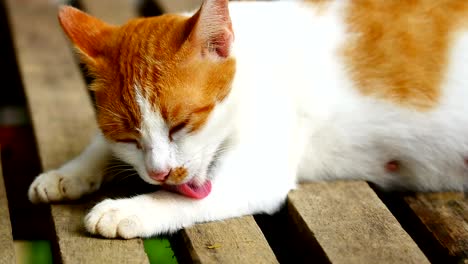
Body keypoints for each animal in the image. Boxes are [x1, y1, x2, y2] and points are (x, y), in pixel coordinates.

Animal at [27, 0, 468, 238]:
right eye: (129, 138)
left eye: (181, 125)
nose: (159, 173)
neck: (252, 58)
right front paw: (69, 172)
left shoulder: (258, 173)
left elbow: (184, 200)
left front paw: (131, 210)